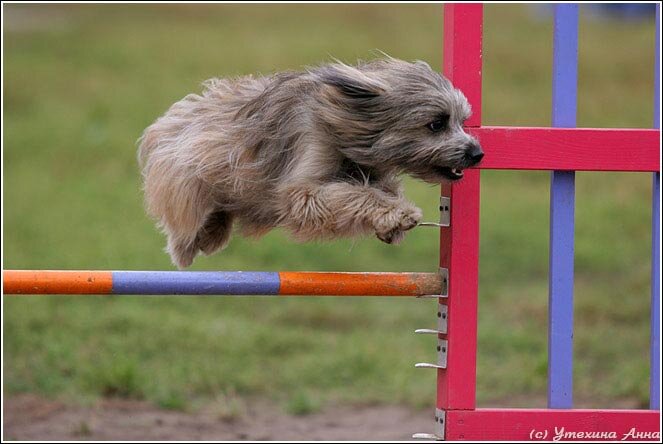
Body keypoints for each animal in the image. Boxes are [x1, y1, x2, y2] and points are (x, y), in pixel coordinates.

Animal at [139, 58, 482, 268]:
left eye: (462, 121)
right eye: (436, 124)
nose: (477, 153)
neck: (346, 128)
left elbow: (381, 188)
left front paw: (391, 221)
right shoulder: (304, 183)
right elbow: (350, 194)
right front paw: (400, 214)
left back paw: (213, 230)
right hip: (188, 173)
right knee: (185, 218)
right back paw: (187, 247)